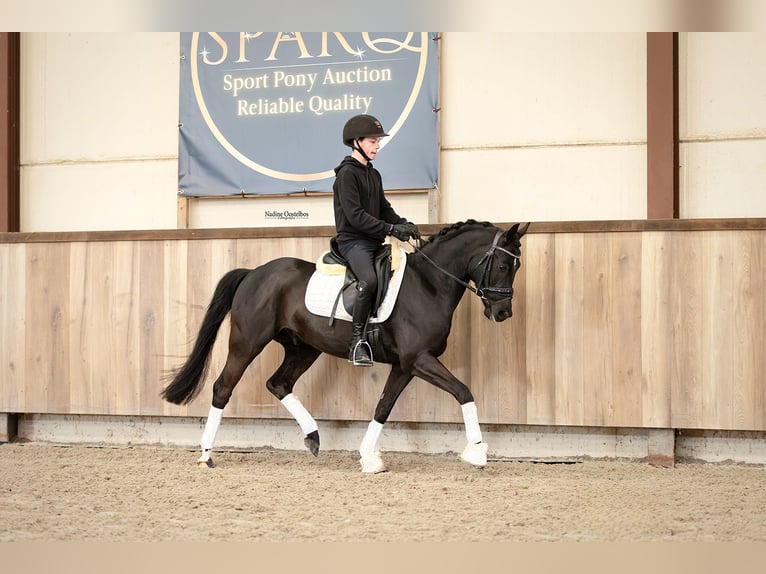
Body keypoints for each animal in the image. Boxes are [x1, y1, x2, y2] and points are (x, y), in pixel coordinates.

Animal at [161, 219, 529, 473]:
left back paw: (313, 437)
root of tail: (254, 273)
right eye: (501, 264)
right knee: (223, 387)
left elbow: (383, 408)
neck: (428, 284)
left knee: (278, 383)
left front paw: (368, 457)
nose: (503, 313)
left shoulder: (405, 365)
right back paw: (206, 455)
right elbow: (464, 391)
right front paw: (477, 451)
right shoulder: (419, 360)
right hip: (247, 343)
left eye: (517, 266)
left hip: (304, 348)